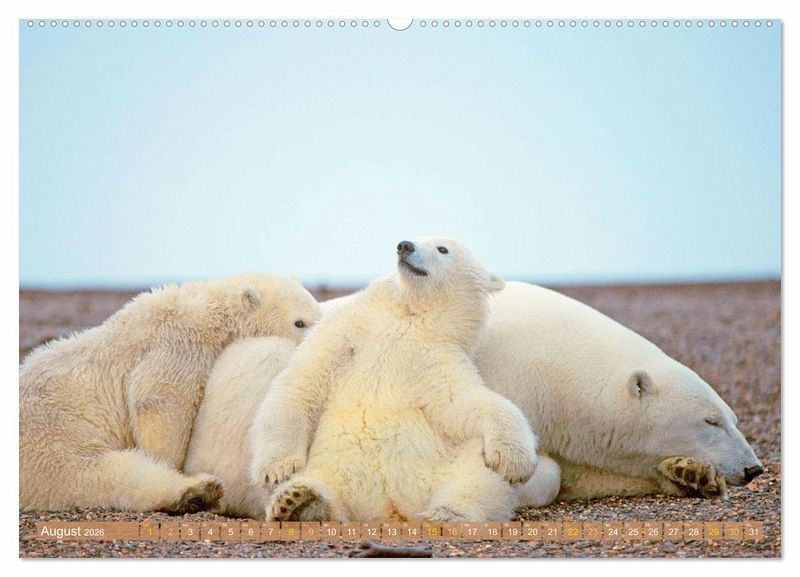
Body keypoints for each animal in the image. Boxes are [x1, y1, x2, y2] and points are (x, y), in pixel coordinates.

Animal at [19, 273, 321, 513]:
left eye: (318, 315)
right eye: (299, 322)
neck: (210, 313)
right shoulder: (177, 345)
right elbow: (158, 402)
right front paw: (169, 457)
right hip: (54, 436)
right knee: (107, 474)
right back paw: (197, 492)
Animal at [248, 237, 539, 522]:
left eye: (442, 248)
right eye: (418, 239)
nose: (405, 245)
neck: (406, 316)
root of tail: (390, 507)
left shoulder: (436, 355)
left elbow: (461, 402)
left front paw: (514, 460)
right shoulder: (346, 331)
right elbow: (303, 381)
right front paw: (278, 468)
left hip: (444, 466)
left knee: (479, 474)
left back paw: (446, 514)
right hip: (328, 469)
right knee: (317, 483)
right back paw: (297, 502)